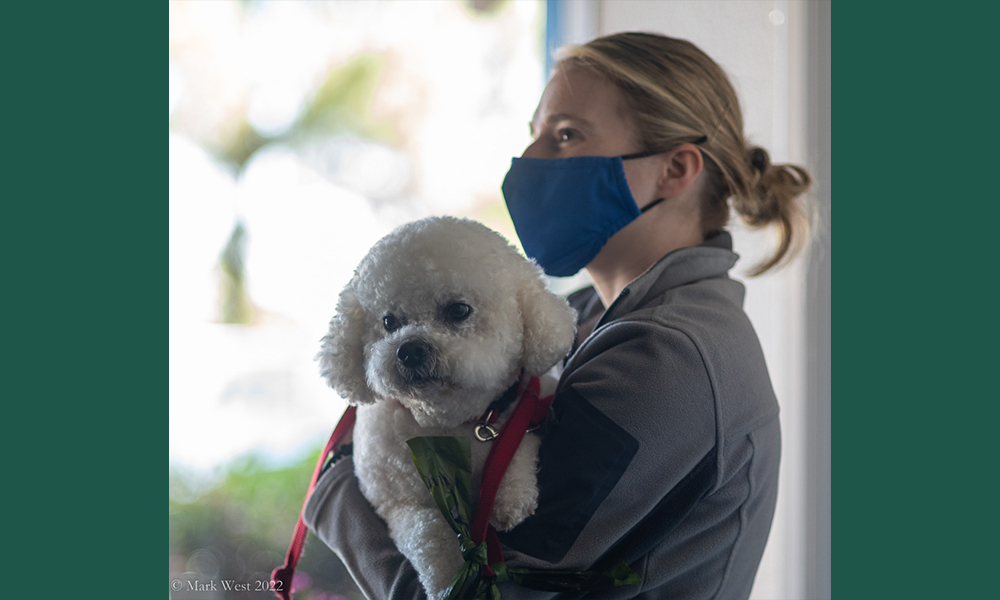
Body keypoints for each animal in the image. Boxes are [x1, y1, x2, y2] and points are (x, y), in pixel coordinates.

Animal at [316, 218, 576, 596]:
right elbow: (426, 533)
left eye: (458, 310)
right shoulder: (397, 502)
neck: (451, 420)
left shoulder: (531, 404)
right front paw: (449, 578)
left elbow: (517, 442)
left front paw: (511, 496)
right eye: (389, 322)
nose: (409, 350)